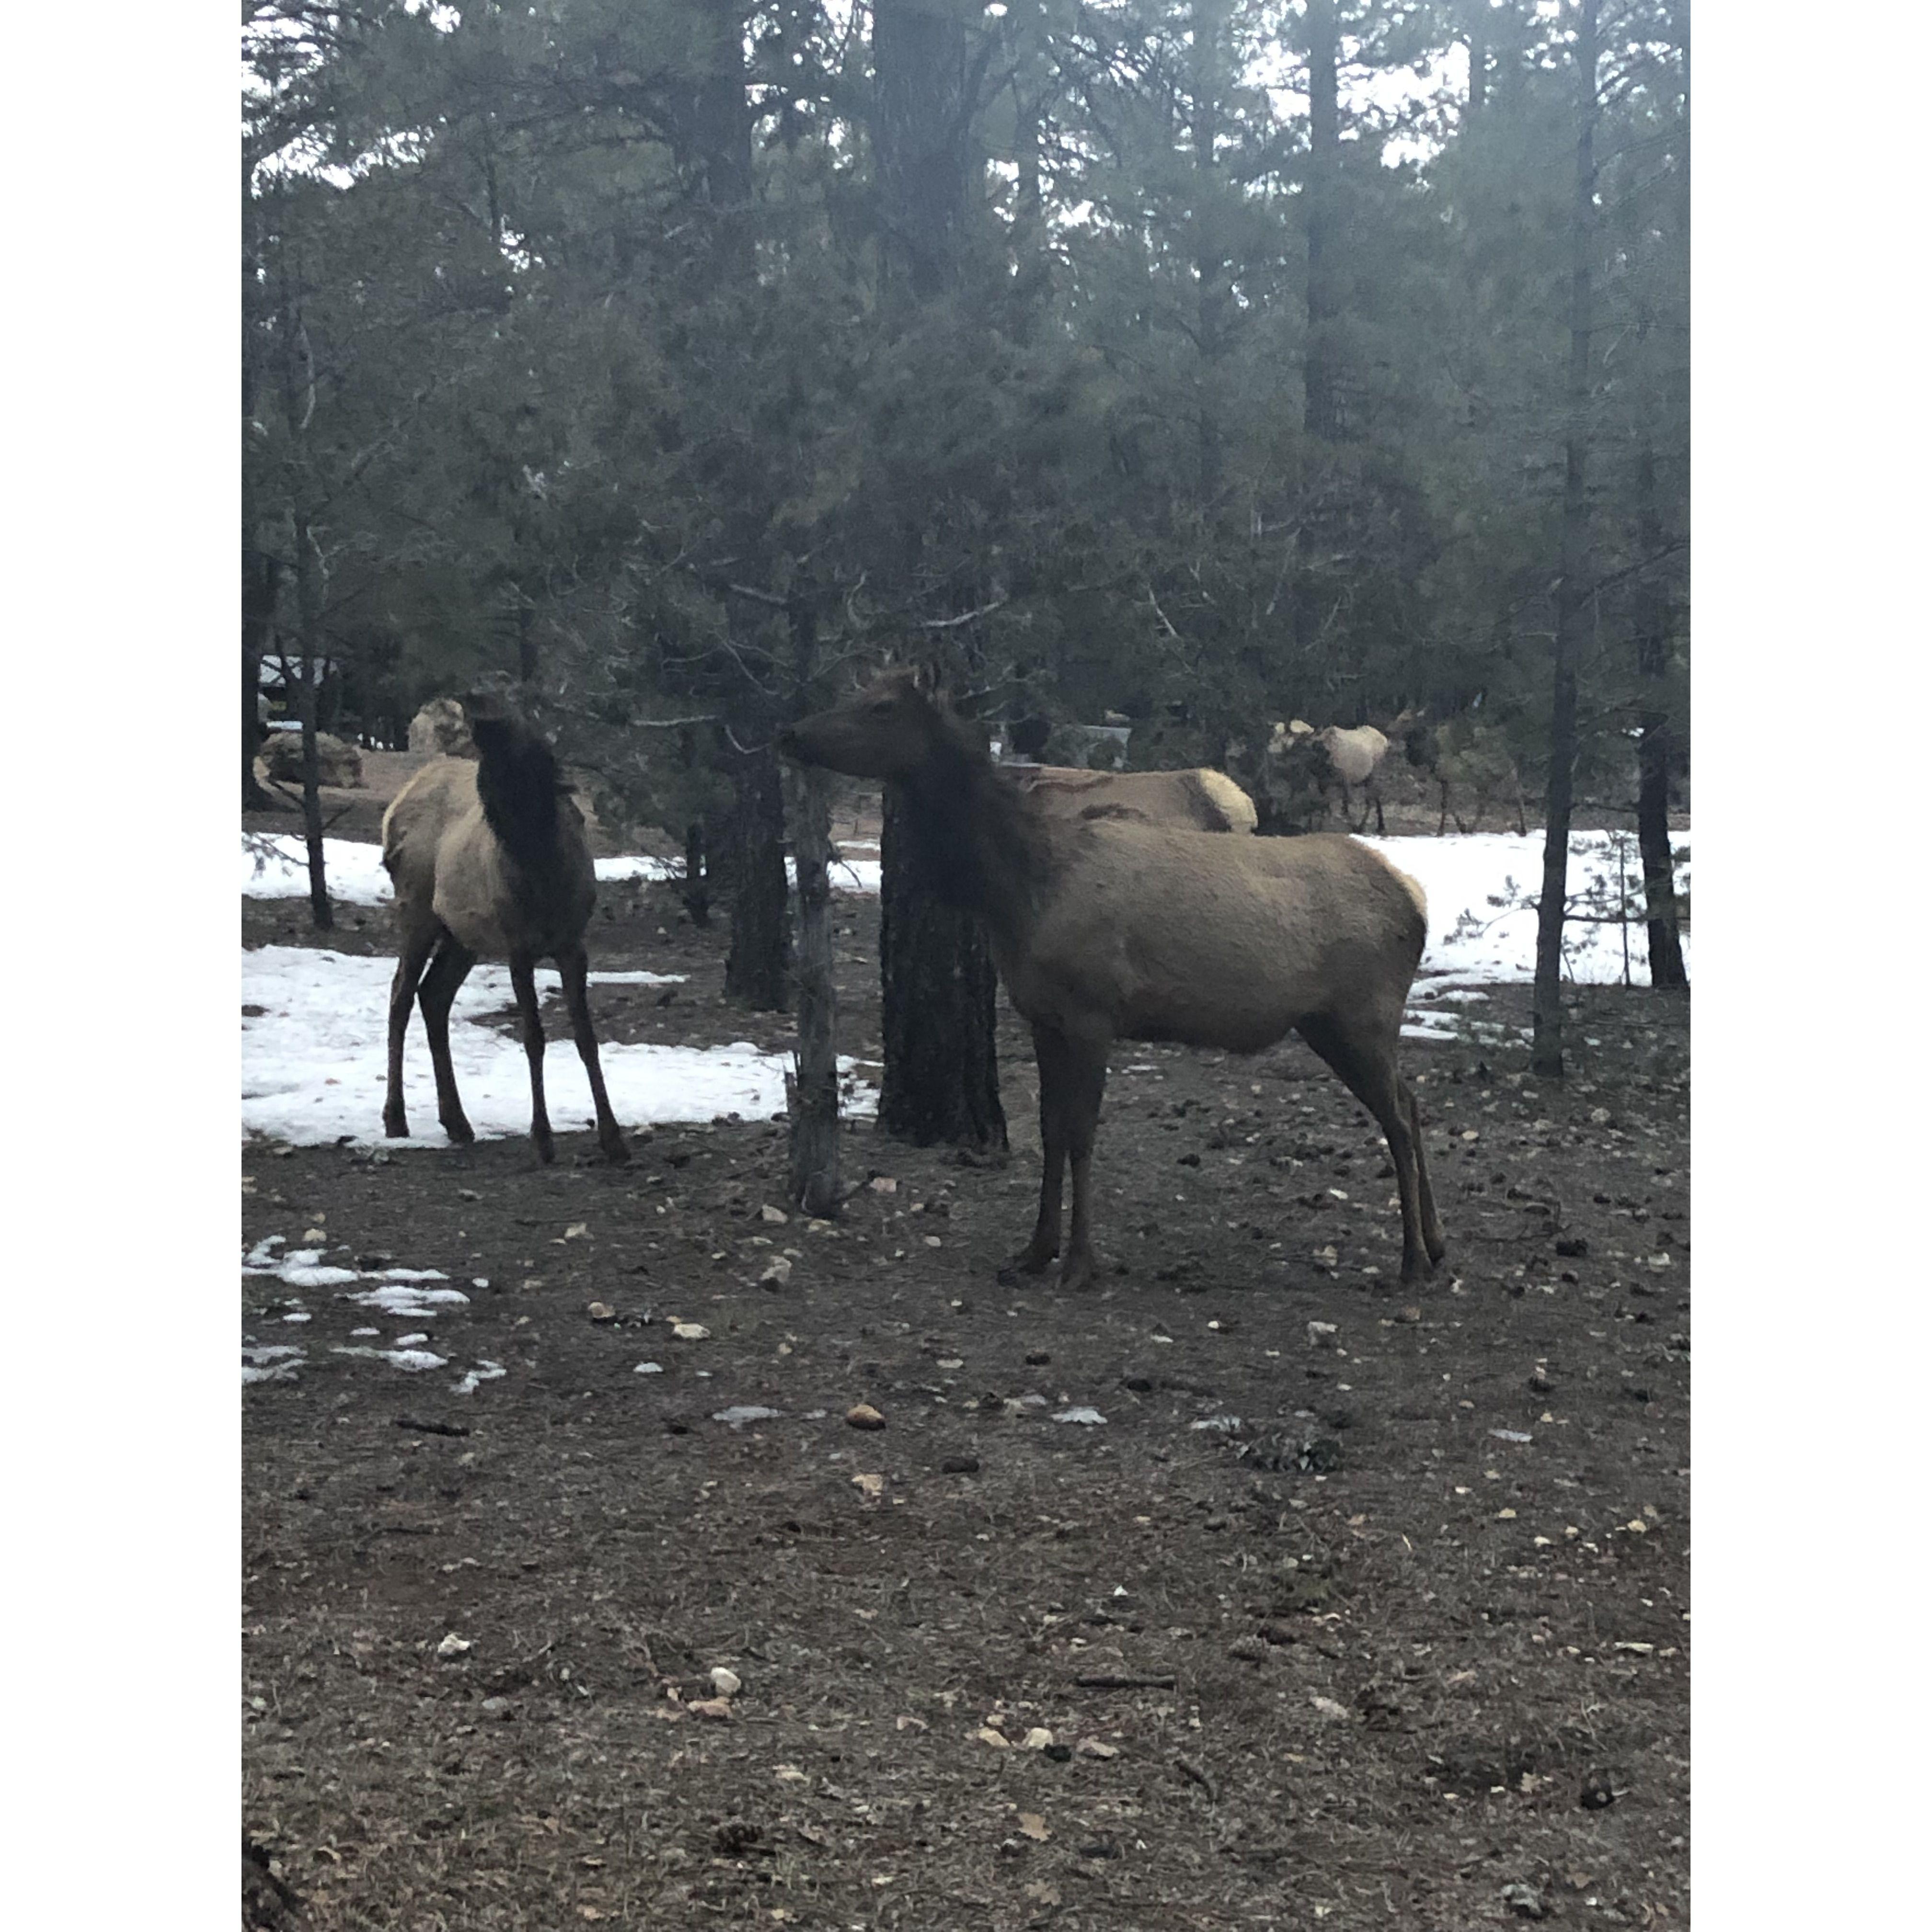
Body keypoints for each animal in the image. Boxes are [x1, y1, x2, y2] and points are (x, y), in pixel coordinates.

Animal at [379, 693, 629, 1165]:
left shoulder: (573, 943)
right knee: (401, 994)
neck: (544, 878)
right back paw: (395, 1118)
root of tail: (394, 806)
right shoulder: (519, 946)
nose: (484, 718)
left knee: (433, 996)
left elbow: (587, 1038)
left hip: (462, 936)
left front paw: (614, 1138)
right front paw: (542, 1138)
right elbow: (534, 1037)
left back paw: (456, 1121)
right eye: (490, 776)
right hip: (417, 909)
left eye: (539, 759)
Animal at [779, 665, 1446, 1289]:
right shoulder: (1043, 1015)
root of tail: (1416, 903)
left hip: (1361, 1014)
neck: (1017, 894)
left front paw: (1079, 1262)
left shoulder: (1094, 1012)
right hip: (1331, 1023)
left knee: (1397, 1116)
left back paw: (1413, 1259)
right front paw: (1033, 1252)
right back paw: (1437, 1246)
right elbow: (1050, 1131)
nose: (791, 732)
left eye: (882, 707)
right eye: (859, 692)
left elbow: (1082, 1134)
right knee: (1411, 1104)